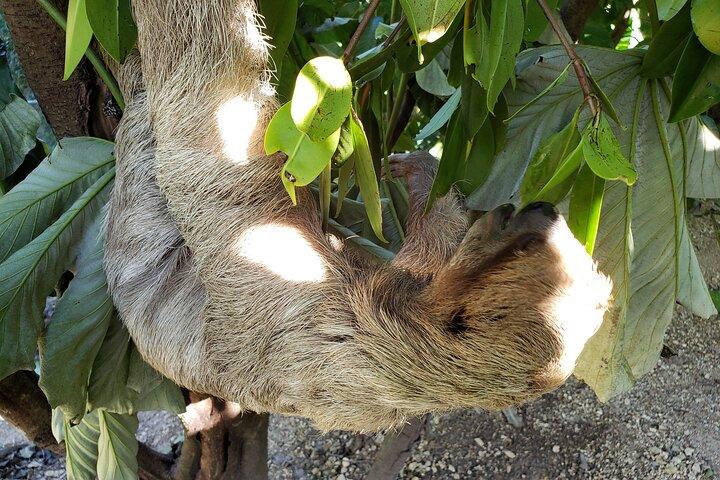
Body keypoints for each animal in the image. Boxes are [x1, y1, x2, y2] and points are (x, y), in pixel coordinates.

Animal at [103, 0, 612, 431]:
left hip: (138, 240)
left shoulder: (291, 286)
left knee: (153, 146)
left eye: (510, 228)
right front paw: (425, 175)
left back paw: (129, 75)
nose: (539, 206)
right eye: (524, 219)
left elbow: (212, 102)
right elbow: (435, 240)